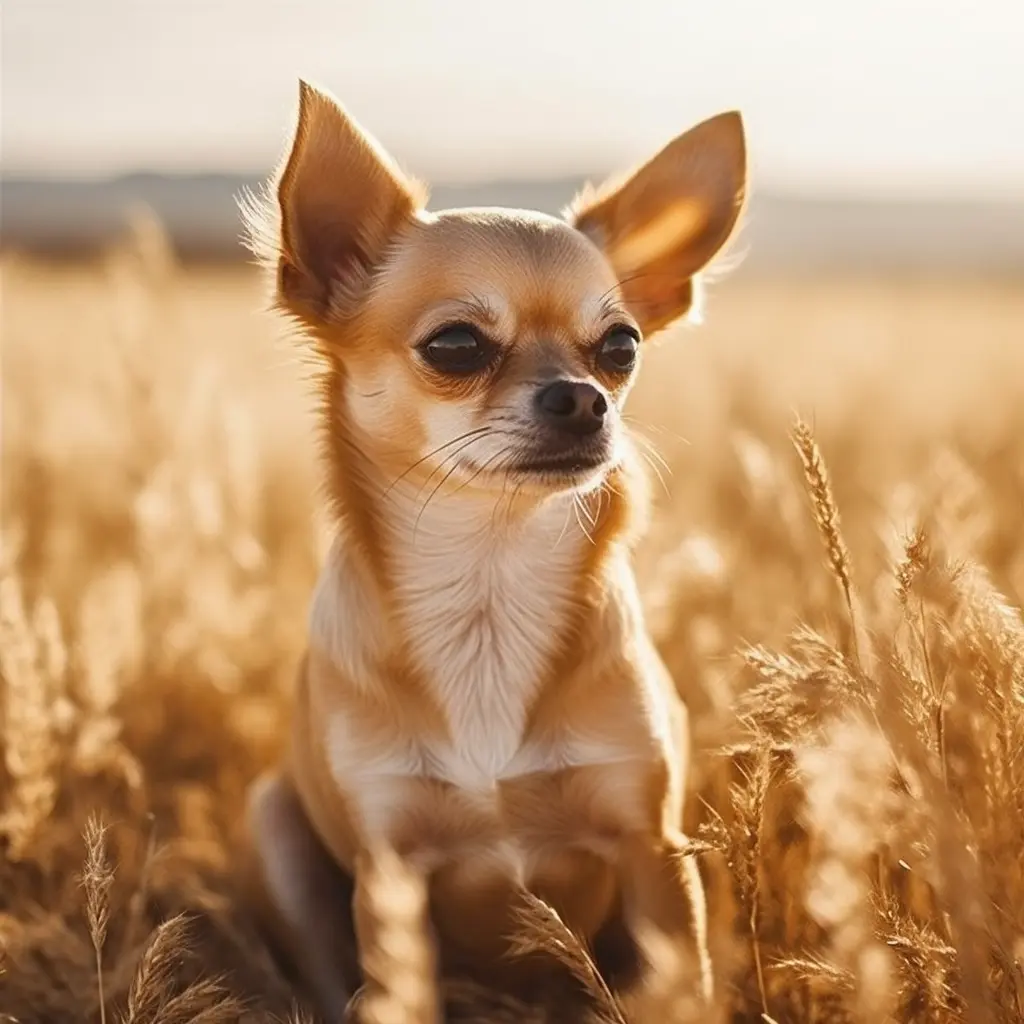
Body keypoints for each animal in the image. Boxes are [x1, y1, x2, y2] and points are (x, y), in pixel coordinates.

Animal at [243, 77, 749, 1015]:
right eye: (455, 345)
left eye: (620, 347)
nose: (585, 398)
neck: (489, 575)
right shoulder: (391, 874)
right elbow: (402, 996)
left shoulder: (655, 851)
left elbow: (683, 989)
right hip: (275, 829)